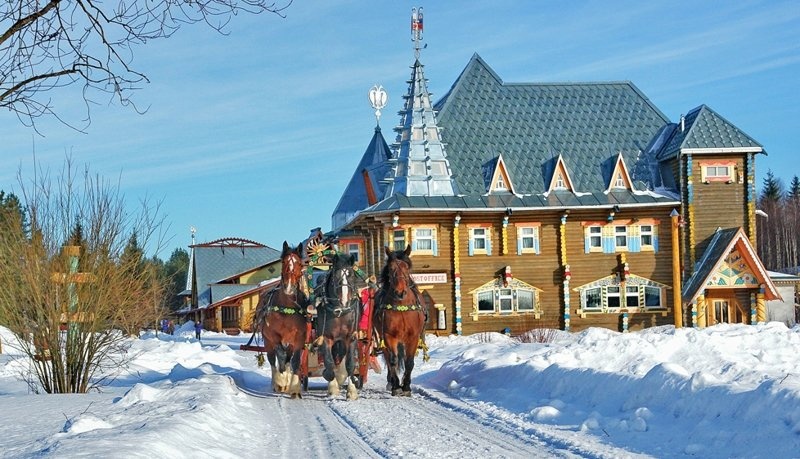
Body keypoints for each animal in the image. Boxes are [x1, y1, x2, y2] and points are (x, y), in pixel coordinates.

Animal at [258, 241, 308, 398]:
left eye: (299, 263)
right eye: (284, 262)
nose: (289, 287)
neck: (287, 309)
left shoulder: (299, 338)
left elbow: (295, 361)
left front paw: (295, 388)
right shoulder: (273, 336)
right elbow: (279, 356)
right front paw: (280, 381)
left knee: (286, 359)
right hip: (267, 340)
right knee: (273, 359)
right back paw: (277, 382)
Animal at [316, 253, 362, 400]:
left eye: (351, 275)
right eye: (336, 276)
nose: (344, 301)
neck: (340, 311)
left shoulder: (351, 337)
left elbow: (350, 363)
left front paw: (352, 391)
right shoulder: (326, 337)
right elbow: (329, 362)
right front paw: (332, 386)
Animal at [374, 246, 428, 398]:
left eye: (406, 268)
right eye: (391, 268)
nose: (400, 292)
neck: (402, 307)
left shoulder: (413, 337)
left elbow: (409, 362)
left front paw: (406, 386)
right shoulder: (388, 336)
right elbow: (393, 360)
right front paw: (396, 386)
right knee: (389, 358)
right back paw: (391, 382)